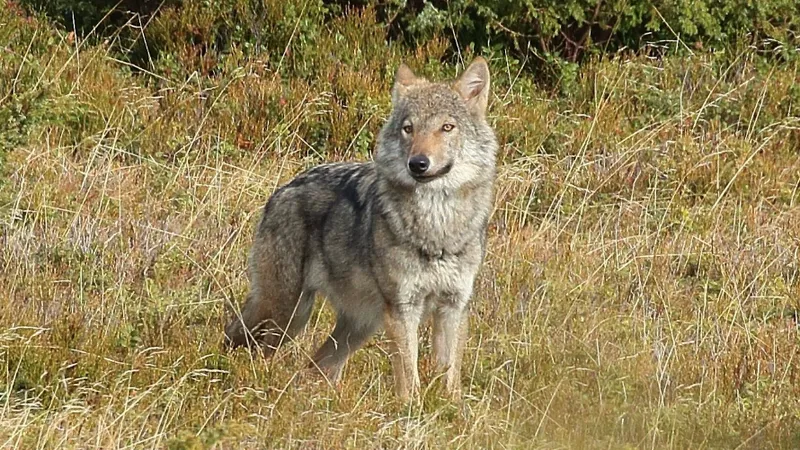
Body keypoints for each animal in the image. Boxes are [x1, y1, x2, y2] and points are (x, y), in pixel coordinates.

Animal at [225, 57, 496, 400]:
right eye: (408, 128)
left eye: (447, 127)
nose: (418, 163)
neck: (437, 227)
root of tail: (282, 189)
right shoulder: (403, 309)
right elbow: (410, 377)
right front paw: (412, 409)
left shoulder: (454, 306)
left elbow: (450, 379)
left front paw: (450, 409)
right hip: (286, 312)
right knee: (243, 340)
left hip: (356, 325)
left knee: (317, 364)